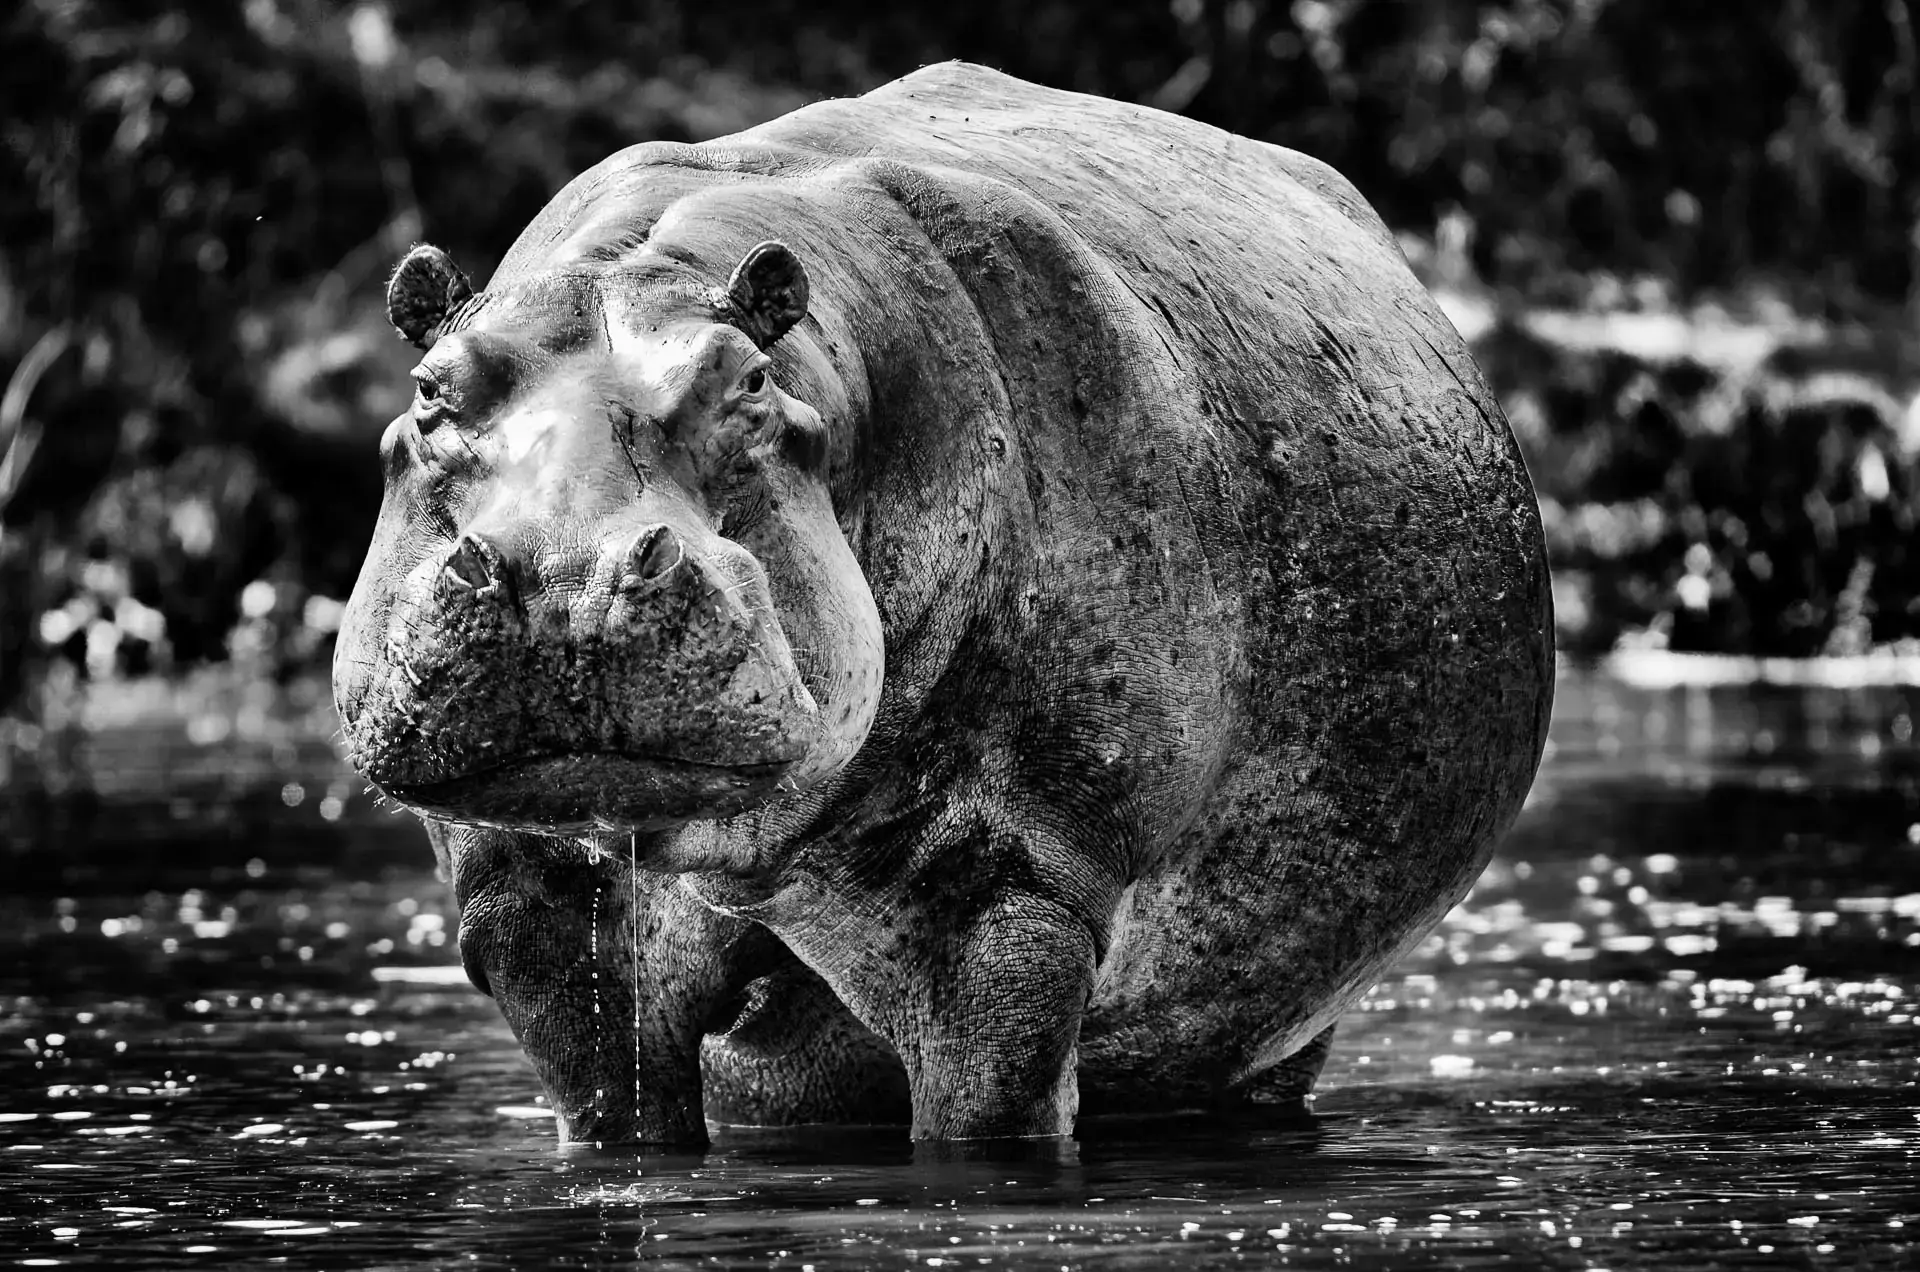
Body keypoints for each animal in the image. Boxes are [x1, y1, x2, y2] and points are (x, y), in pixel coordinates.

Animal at [332, 61, 1553, 1147]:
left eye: (749, 385)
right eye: (430, 390)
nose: (566, 577)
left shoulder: (1010, 894)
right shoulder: (530, 901)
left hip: (1271, 1021)